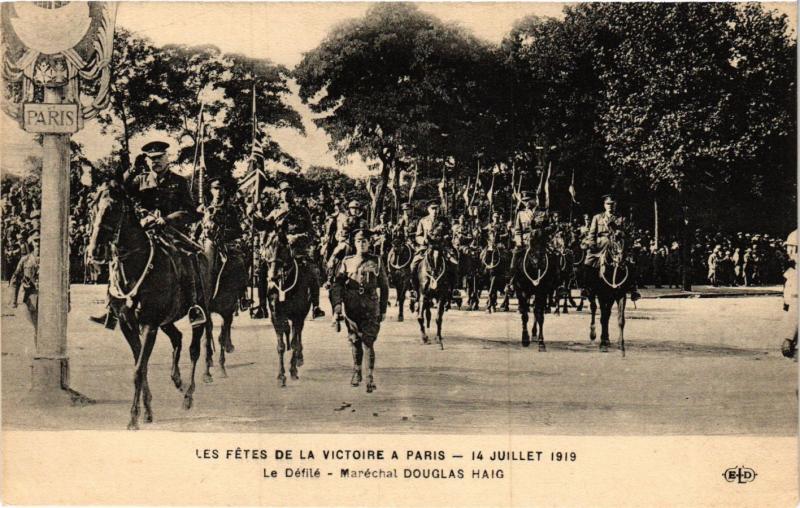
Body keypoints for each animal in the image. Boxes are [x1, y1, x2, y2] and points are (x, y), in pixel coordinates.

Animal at [88, 182, 214, 428]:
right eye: (94, 207)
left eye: (113, 208)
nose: (94, 251)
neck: (134, 268)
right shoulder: (128, 325)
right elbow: (142, 365)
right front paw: (146, 410)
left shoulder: (149, 325)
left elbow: (139, 369)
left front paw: (133, 418)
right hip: (167, 321)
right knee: (177, 338)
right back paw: (177, 379)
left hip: (199, 313)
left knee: (194, 349)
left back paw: (188, 395)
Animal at [262, 230, 312, 384]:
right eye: (268, 247)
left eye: (283, 248)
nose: (273, 276)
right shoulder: (276, 316)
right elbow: (281, 346)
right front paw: (281, 375)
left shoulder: (298, 316)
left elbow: (295, 342)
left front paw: (293, 370)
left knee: (298, 334)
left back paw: (299, 358)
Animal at [412, 222, 456, 350]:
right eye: (430, 253)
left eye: (441, 253)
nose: (435, 272)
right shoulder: (423, 294)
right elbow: (420, 317)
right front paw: (424, 338)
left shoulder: (441, 296)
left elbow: (438, 318)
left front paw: (438, 339)